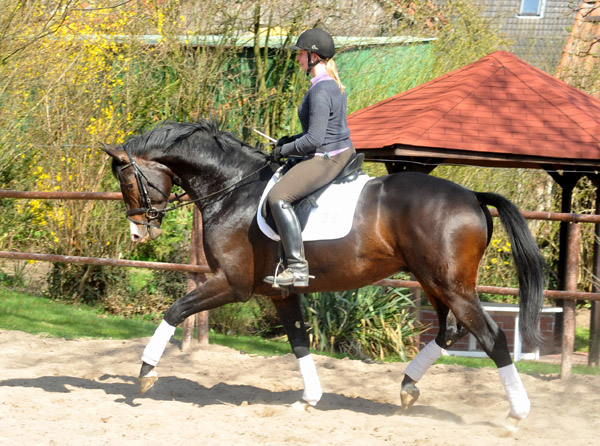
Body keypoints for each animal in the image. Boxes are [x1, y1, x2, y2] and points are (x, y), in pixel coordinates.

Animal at [102, 120, 544, 424]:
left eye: (128, 182)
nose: (138, 231)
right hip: (434, 282)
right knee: (448, 331)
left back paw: (517, 414)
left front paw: (144, 374)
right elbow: (299, 341)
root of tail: (471, 196)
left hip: (450, 285)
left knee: (491, 336)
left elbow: (175, 311)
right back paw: (408, 387)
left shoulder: (232, 284)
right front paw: (308, 399)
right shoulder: (280, 293)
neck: (233, 190)